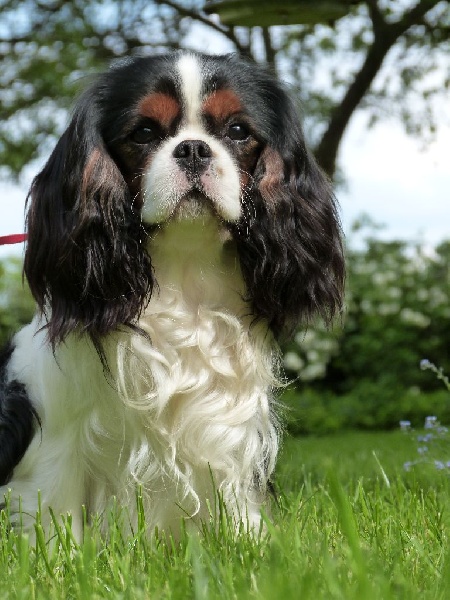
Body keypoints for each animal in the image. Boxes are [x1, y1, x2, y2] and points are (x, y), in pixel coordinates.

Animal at [0, 52, 344, 540]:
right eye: (144, 132)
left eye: (238, 131)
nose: (194, 148)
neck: (185, 271)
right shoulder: (58, 441)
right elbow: (57, 513)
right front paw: (59, 554)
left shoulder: (228, 432)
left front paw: (251, 545)